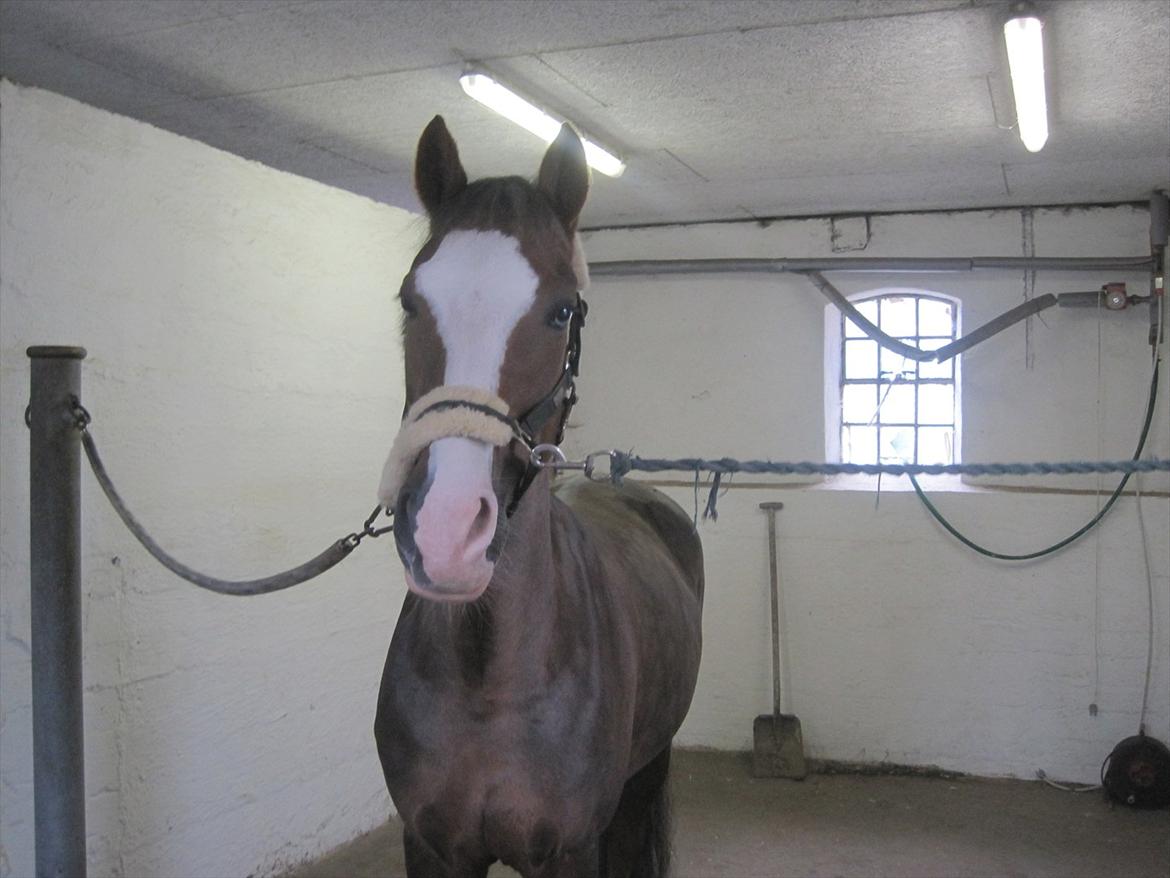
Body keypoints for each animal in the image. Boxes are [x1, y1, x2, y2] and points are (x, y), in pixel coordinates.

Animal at [373, 115, 704, 878]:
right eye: (409, 300)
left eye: (560, 312)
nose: (445, 534)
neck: (488, 679)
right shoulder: (429, 847)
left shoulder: (570, 849)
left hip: (648, 772)